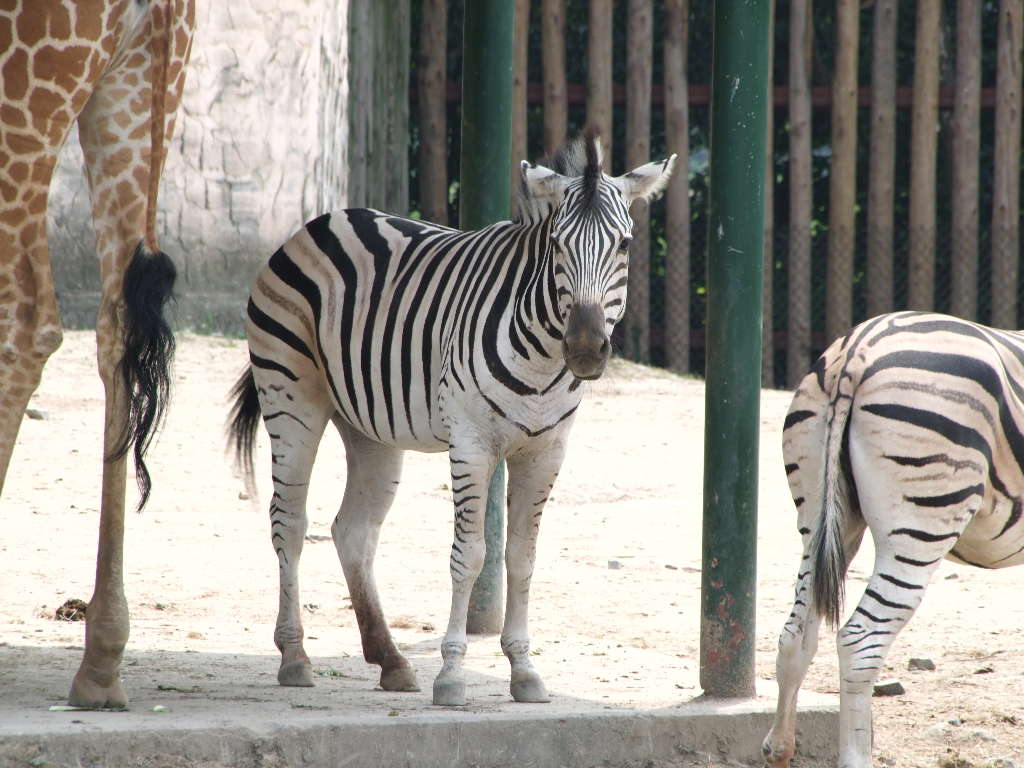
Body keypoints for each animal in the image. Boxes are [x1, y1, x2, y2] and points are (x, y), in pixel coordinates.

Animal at [228, 134, 675, 708]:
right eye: (557, 245)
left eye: (623, 244)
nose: (584, 349)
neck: (543, 360)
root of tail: (325, 220)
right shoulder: (471, 445)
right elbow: (471, 555)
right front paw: (453, 674)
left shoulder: (546, 451)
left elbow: (521, 557)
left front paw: (524, 671)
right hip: (291, 395)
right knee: (289, 521)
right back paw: (295, 657)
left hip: (371, 427)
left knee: (353, 531)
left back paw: (391, 660)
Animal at [765, 313, 1024, 768]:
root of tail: (859, 348)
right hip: (920, 523)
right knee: (860, 641)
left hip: (820, 517)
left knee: (796, 635)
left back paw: (780, 748)